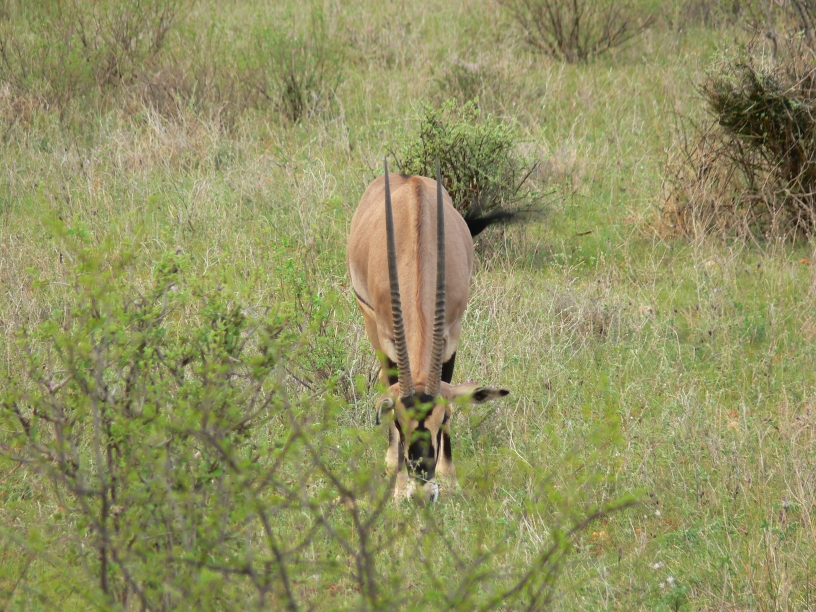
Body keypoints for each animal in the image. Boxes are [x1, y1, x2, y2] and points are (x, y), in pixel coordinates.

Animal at [347, 160, 510, 502]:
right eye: (397, 421)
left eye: (444, 417)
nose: (422, 490)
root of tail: (408, 179)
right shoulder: (387, 337)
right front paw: (398, 484)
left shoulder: (451, 333)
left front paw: (448, 479)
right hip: (369, 321)